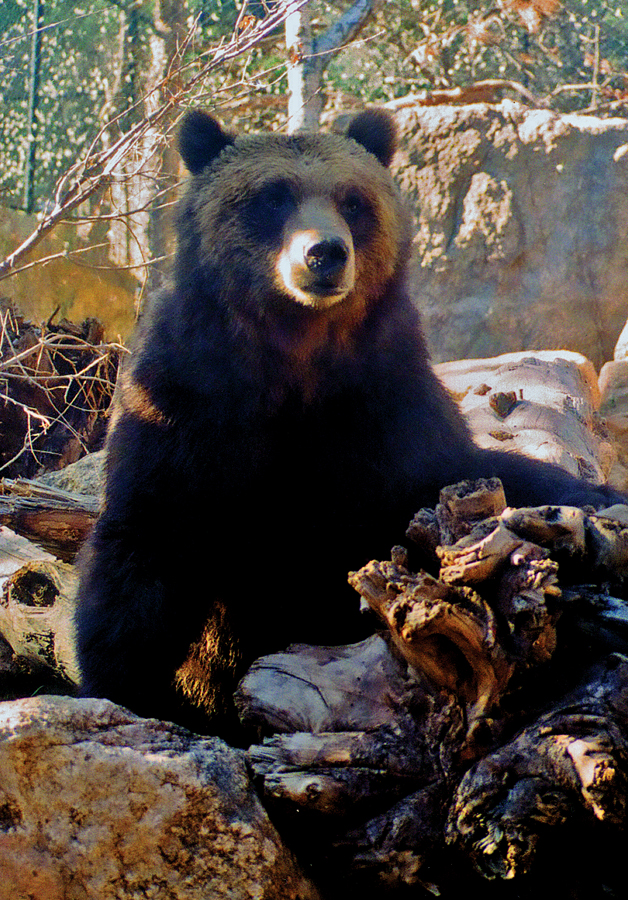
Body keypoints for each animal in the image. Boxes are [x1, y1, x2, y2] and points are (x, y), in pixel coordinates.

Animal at [75, 107, 626, 738]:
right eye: (272, 196)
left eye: (353, 200)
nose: (324, 253)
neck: (296, 357)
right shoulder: (190, 402)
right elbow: (145, 538)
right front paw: (124, 690)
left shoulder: (383, 402)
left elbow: (447, 487)